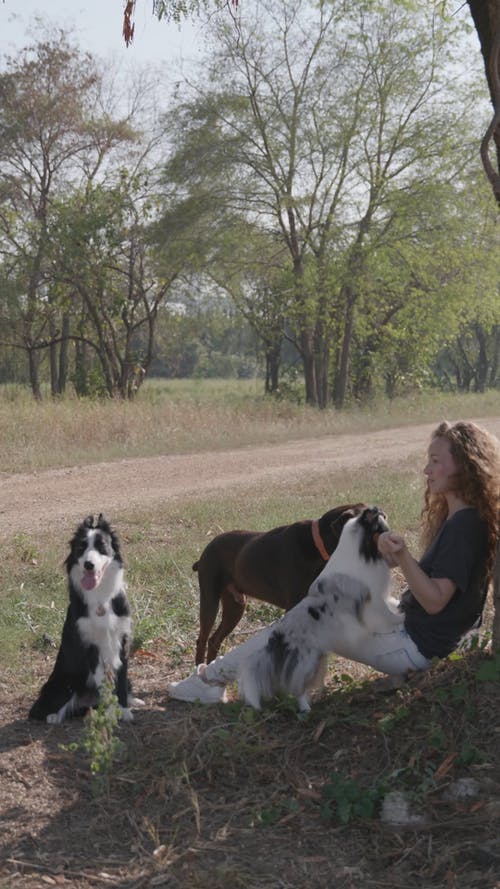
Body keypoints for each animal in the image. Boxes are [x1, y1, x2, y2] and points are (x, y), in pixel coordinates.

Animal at [29, 512, 140, 720]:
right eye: (81, 547)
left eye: (101, 545)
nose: (89, 565)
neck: (100, 597)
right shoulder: (91, 646)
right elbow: (104, 684)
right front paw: (111, 714)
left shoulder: (122, 640)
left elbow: (120, 681)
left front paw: (123, 710)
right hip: (64, 683)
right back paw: (54, 716)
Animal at [193, 502, 366, 664]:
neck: (316, 547)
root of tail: (204, 553)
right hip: (210, 600)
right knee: (202, 640)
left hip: (235, 606)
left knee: (214, 640)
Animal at [237, 510, 402, 712]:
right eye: (374, 517)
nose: (381, 510)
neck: (359, 548)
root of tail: (277, 636)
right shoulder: (374, 602)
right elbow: (387, 615)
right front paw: (400, 618)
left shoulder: (381, 596)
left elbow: (391, 604)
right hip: (308, 662)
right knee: (298, 689)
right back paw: (306, 709)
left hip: (318, 660)